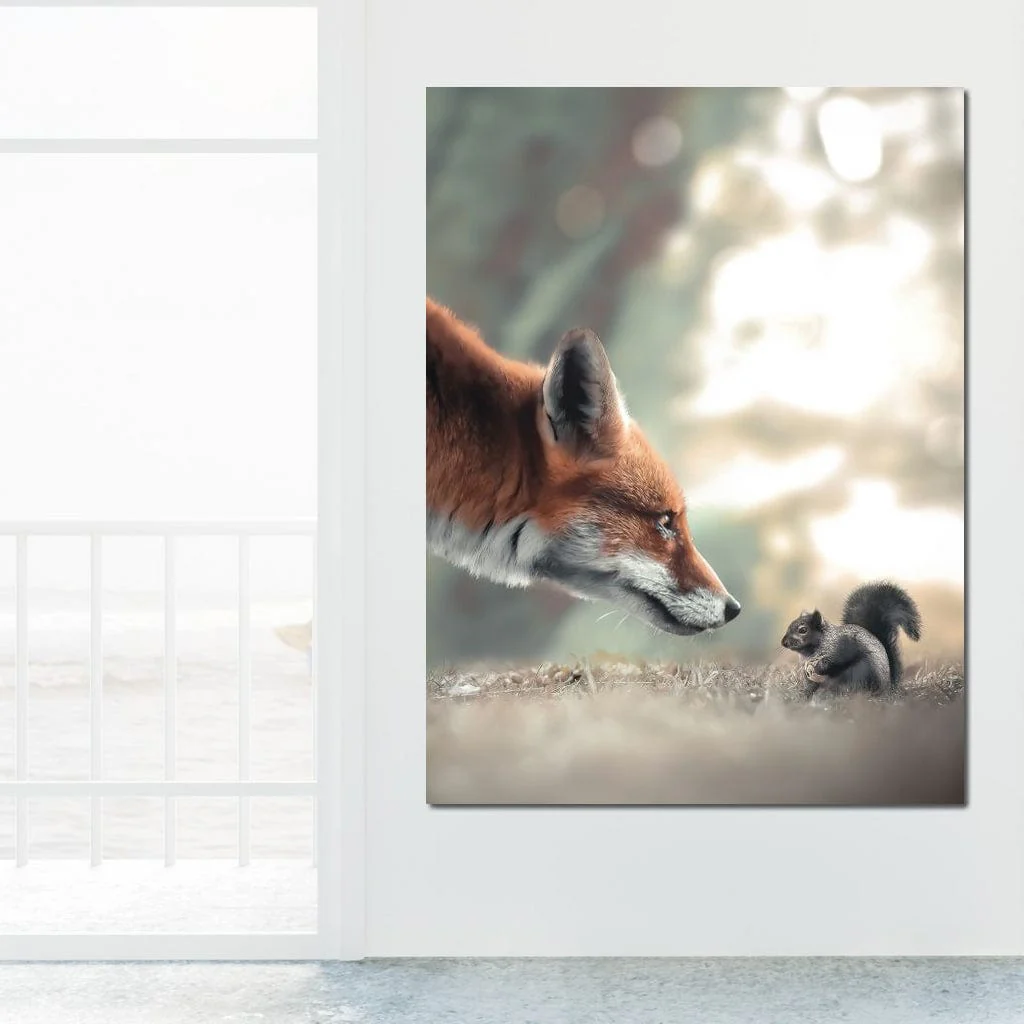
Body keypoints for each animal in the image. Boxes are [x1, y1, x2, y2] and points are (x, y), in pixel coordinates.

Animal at [781, 581, 922, 697]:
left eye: (803, 630)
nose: (784, 643)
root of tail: (887, 688)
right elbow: (808, 682)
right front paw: (804, 692)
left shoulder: (841, 648)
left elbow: (835, 661)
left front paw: (819, 666)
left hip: (861, 672)